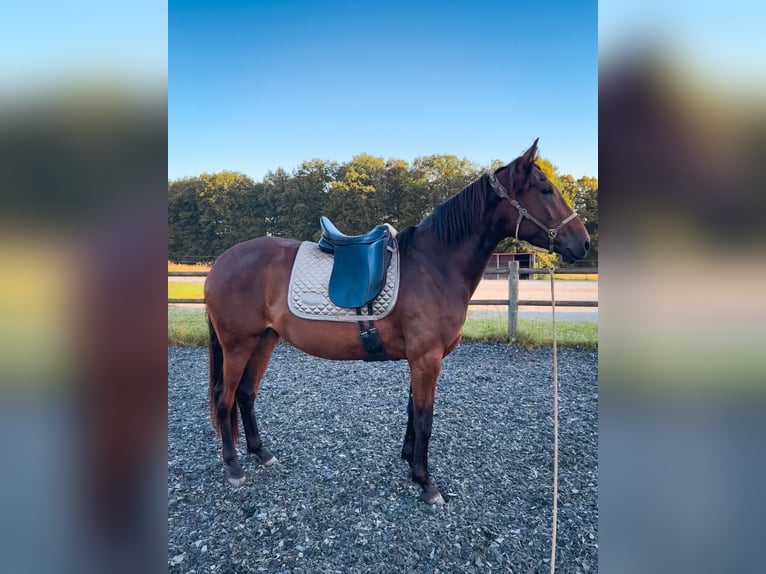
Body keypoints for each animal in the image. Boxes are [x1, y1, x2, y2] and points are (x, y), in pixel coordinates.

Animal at [206, 142, 592, 506]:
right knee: (225, 397)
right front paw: (426, 482)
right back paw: (233, 467)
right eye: (545, 189)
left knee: (246, 393)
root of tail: (220, 263)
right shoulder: (426, 358)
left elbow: (412, 412)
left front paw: (409, 463)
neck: (435, 264)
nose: (584, 242)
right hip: (238, 344)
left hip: (264, 340)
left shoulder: (420, 359)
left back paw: (261, 453)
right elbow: (424, 418)